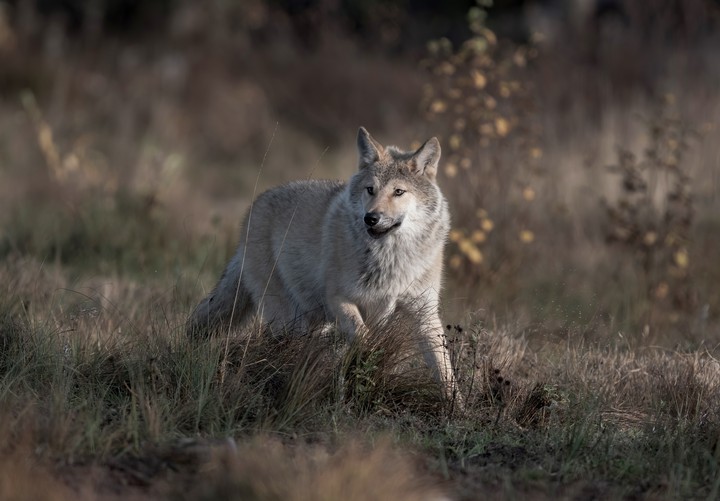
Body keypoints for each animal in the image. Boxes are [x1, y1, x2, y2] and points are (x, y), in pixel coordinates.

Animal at [188, 127, 459, 400]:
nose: (370, 218)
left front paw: (455, 405)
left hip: (314, 323)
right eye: (370, 189)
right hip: (291, 320)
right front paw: (365, 367)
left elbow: (445, 369)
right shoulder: (339, 299)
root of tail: (253, 208)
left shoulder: (424, 313)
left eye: (399, 192)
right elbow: (364, 338)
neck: (391, 258)